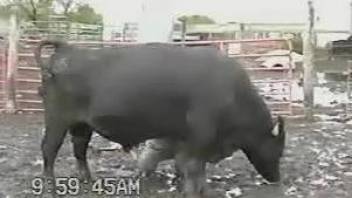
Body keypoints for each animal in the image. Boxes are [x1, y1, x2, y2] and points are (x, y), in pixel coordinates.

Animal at [33, 41, 286, 197]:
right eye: (278, 149)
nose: (277, 179)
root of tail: (67, 49)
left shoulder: (183, 139)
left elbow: (186, 166)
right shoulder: (200, 137)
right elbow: (195, 167)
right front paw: (196, 192)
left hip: (82, 125)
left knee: (79, 150)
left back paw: (89, 181)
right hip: (57, 119)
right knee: (49, 149)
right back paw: (50, 186)